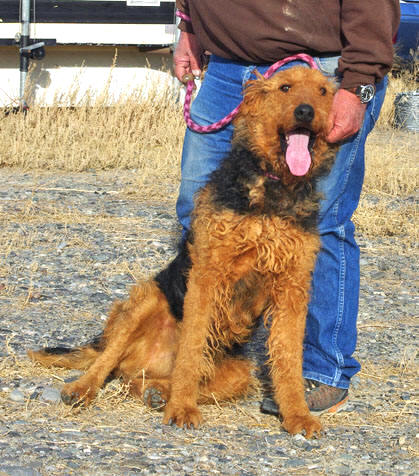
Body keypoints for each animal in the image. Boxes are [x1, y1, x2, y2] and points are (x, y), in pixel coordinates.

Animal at [28, 67, 338, 438]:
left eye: (323, 91)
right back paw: (83, 389)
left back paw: (158, 392)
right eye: (285, 87)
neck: (274, 189)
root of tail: (148, 363)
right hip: (144, 300)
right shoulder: (208, 276)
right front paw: (182, 410)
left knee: (141, 382)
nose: (306, 112)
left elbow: (289, 360)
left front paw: (298, 416)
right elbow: (191, 351)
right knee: (105, 361)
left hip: (238, 372)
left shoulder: (292, 288)